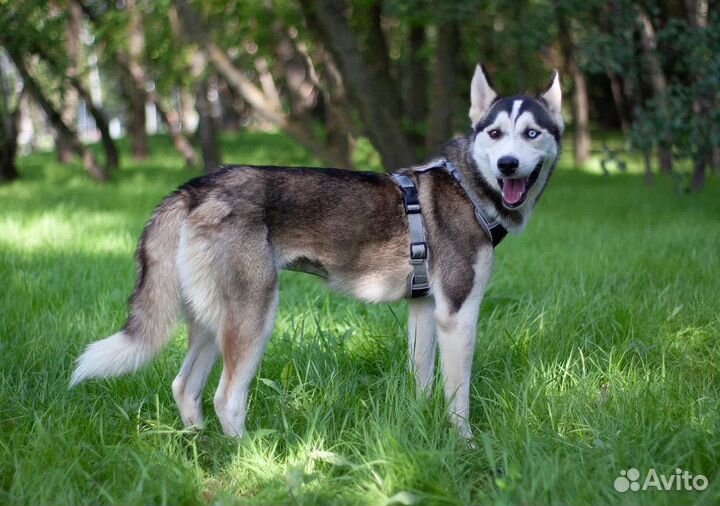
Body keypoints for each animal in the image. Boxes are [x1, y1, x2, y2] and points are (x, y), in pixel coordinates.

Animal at [70, 65, 564, 438]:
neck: (469, 186)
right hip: (254, 316)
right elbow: (458, 395)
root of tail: (196, 187)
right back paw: (249, 460)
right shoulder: (458, 313)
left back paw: (200, 448)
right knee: (226, 399)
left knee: (184, 387)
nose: (508, 165)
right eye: (495, 133)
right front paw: (464, 443)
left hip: (212, 320)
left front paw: (422, 428)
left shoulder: (424, 310)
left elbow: (423, 381)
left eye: (532, 133)